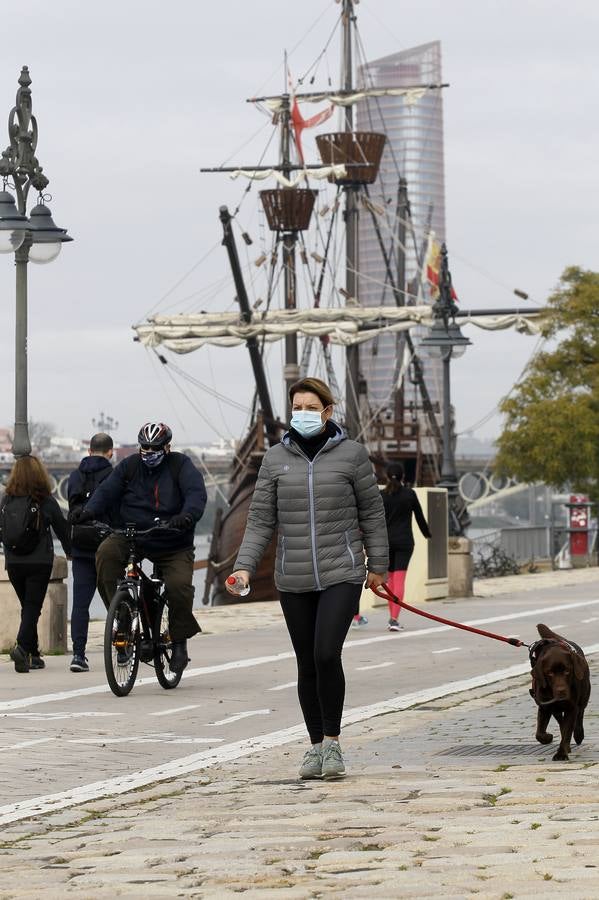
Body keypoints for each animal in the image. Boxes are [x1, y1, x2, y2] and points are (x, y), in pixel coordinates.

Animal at [528, 624, 592, 760]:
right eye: (550, 673)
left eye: (567, 671)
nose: (561, 691)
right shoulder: (544, 706)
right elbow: (539, 733)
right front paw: (548, 738)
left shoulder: (571, 707)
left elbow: (568, 730)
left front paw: (561, 753)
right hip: (555, 709)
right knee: (561, 722)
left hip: (584, 698)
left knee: (579, 716)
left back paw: (578, 735)